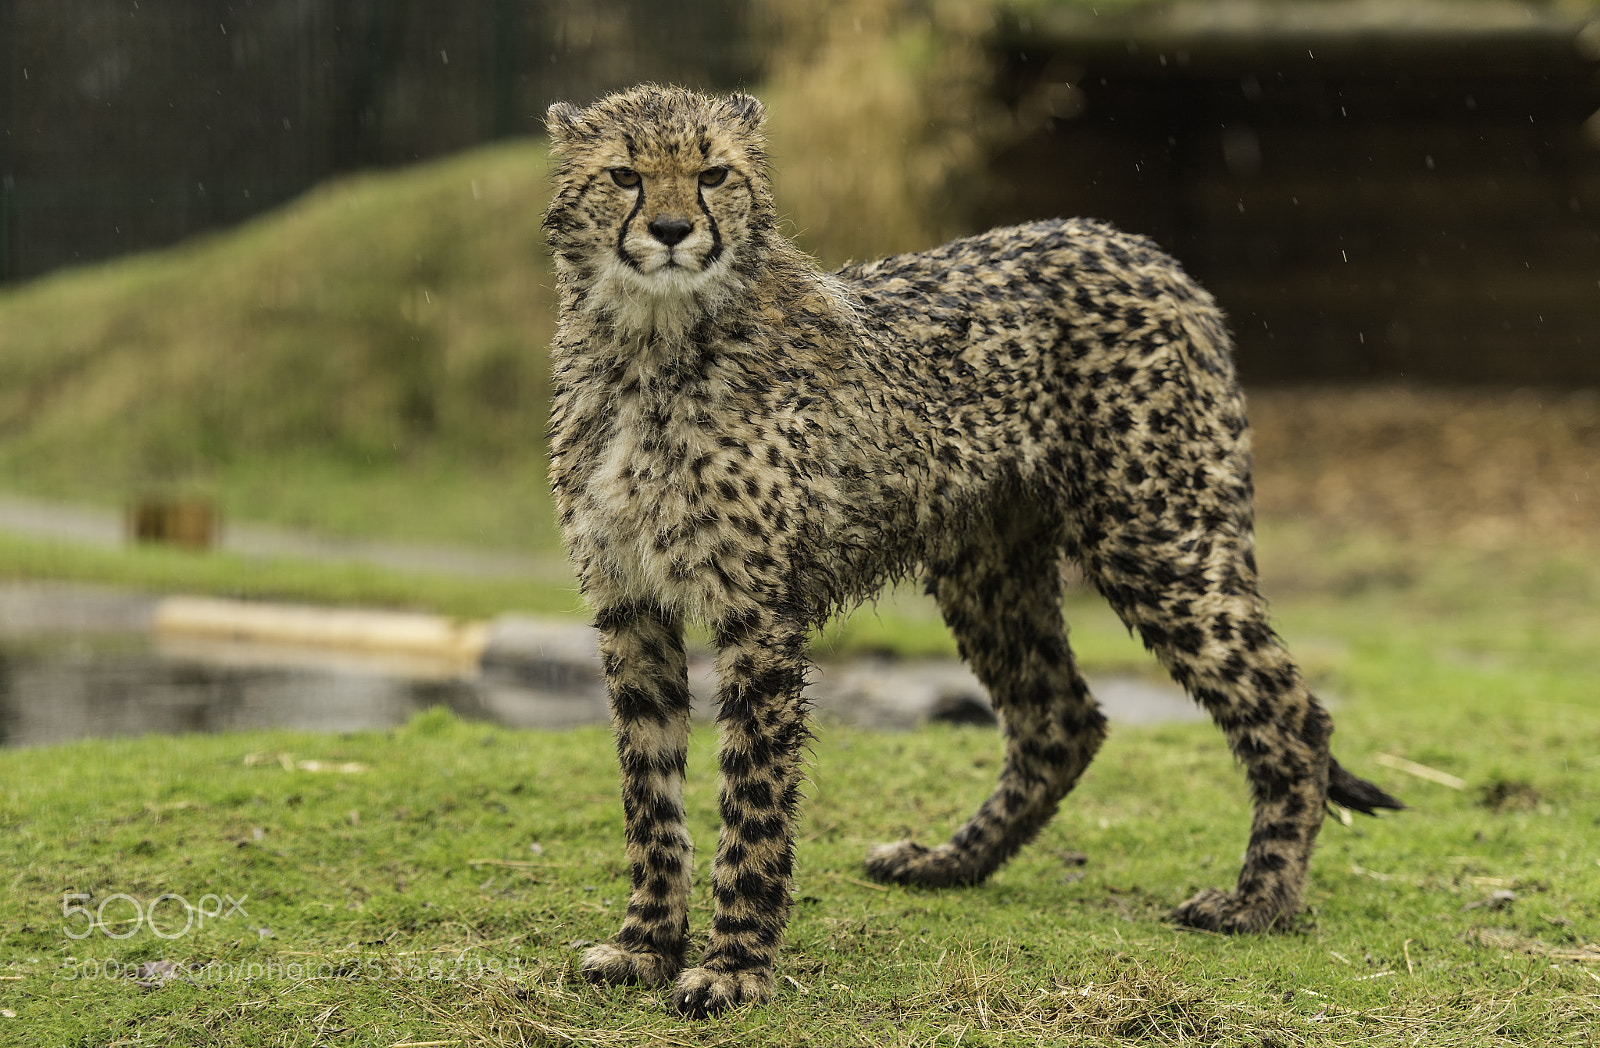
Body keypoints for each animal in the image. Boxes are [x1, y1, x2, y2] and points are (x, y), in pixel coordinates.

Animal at [540, 83, 1402, 1018]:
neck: (649, 346)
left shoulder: (757, 613)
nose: (670, 231)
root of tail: (1137, 246)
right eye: (625, 175)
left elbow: (754, 800)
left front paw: (735, 965)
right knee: (1060, 717)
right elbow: (650, 792)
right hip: (988, 563)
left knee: (1291, 712)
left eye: (712, 174)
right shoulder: (630, 604)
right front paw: (646, 945)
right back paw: (952, 862)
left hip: (1155, 536)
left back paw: (1259, 901)